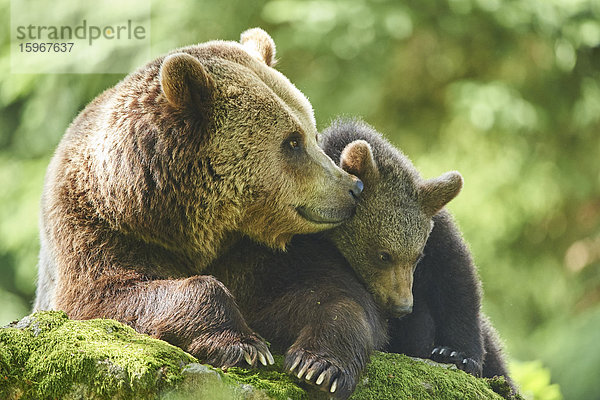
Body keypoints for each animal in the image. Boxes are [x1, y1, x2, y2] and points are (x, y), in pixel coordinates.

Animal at [35, 28, 364, 368]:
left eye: (312, 134)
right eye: (293, 142)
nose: (353, 187)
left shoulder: (256, 255)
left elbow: (329, 293)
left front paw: (318, 362)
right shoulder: (97, 232)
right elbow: (102, 298)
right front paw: (244, 345)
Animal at [206, 118, 510, 396]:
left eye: (416, 256)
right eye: (383, 255)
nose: (402, 306)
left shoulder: (437, 237)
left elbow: (456, 282)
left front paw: (457, 354)